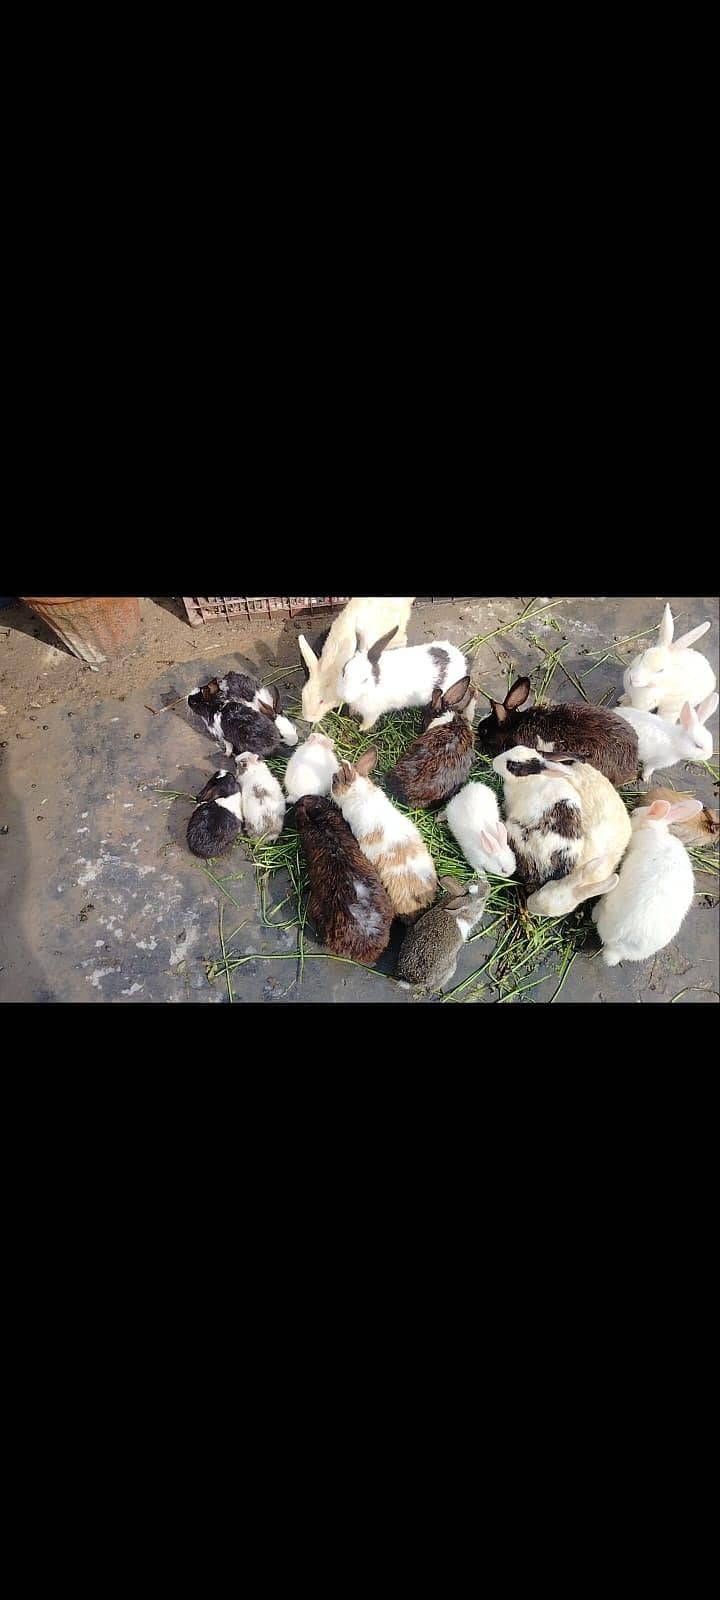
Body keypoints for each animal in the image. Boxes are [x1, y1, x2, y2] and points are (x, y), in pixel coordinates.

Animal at [338, 628, 469, 732]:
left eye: (365, 680)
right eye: (344, 671)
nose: (346, 697)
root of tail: (460, 658)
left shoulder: (372, 712)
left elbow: (369, 721)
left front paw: (361, 728)